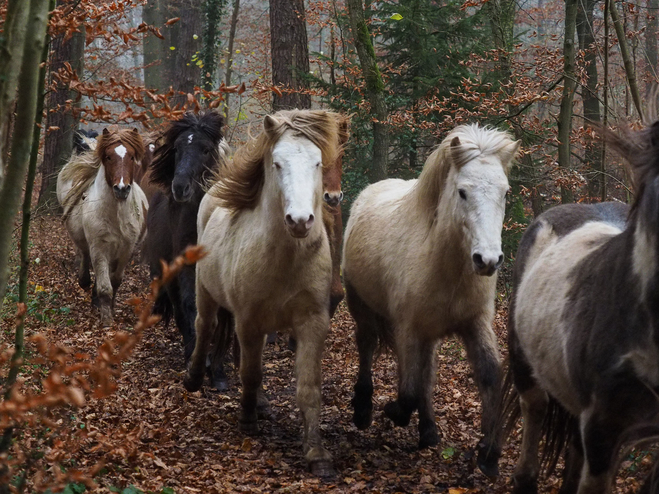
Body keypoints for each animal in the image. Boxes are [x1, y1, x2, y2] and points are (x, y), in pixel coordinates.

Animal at [57, 128, 148, 328]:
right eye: (108, 156)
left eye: (131, 157)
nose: (121, 189)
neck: (116, 215)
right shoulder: (99, 247)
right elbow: (105, 287)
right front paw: (106, 320)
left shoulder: (126, 249)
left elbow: (115, 281)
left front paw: (109, 307)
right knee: (84, 254)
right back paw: (85, 282)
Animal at [144, 112, 227, 382]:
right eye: (178, 148)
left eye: (205, 149)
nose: (180, 187)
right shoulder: (186, 267)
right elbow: (190, 306)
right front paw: (197, 358)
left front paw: (219, 370)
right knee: (181, 310)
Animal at [184, 109, 342, 478]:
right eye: (277, 163)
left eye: (317, 163)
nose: (300, 220)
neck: (285, 258)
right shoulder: (249, 320)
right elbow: (250, 372)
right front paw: (247, 421)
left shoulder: (312, 323)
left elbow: (309, 387)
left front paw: (317, 454)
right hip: (206, 292)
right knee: (206, 327)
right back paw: (196, 378)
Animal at [340, 124, 520, 478]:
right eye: (462, 192)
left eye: (505, 193)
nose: (488, 260)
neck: (444, 266)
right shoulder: (408, 329)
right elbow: (407, 390)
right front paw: (393, 411)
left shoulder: (475, 324)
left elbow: (489, 376)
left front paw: (489, 453)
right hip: (362, 307)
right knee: (367, 346)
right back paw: (364, 410)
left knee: (426, 372)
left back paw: (428, 431)